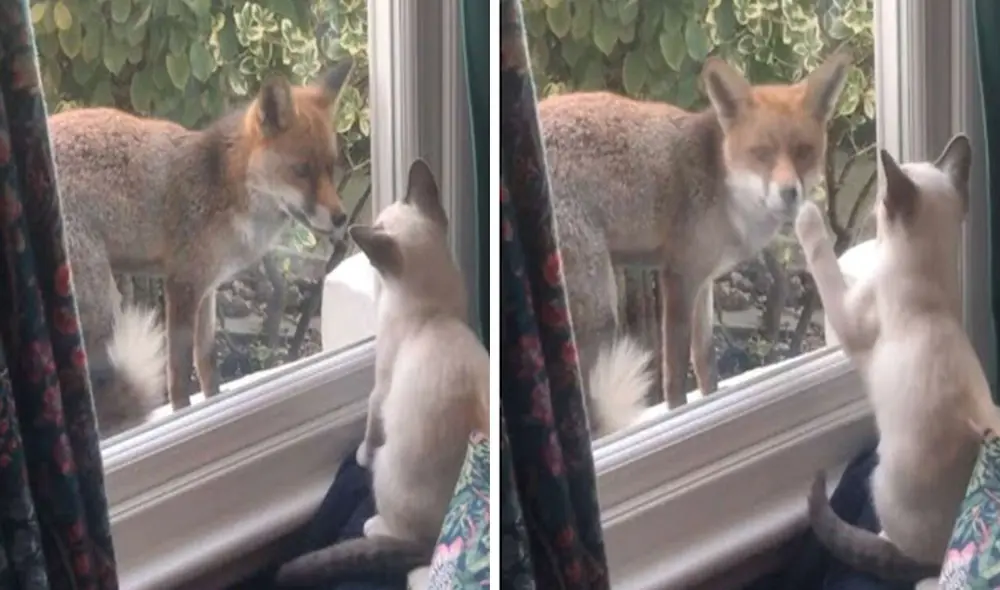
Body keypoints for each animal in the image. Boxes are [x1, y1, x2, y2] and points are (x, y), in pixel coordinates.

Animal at [49, 58, 354, 437]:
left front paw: (214, 407)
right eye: (301, 171)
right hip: (100, 306)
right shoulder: (182, 285)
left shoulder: (207, 289)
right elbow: (179, 375)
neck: (225, 187)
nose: (342, 218)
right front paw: (183, 418)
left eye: (330, 167)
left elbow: (207, 365)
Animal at [538, 52, 851, 421]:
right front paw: (678, 415)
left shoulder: (703, 281)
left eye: (803, 151)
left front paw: (711, 402)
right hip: (599, 306)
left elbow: (705, 362)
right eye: (761, 152)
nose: (789, 193)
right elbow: (675, 375)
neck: (725, 188)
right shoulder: (678, 277)